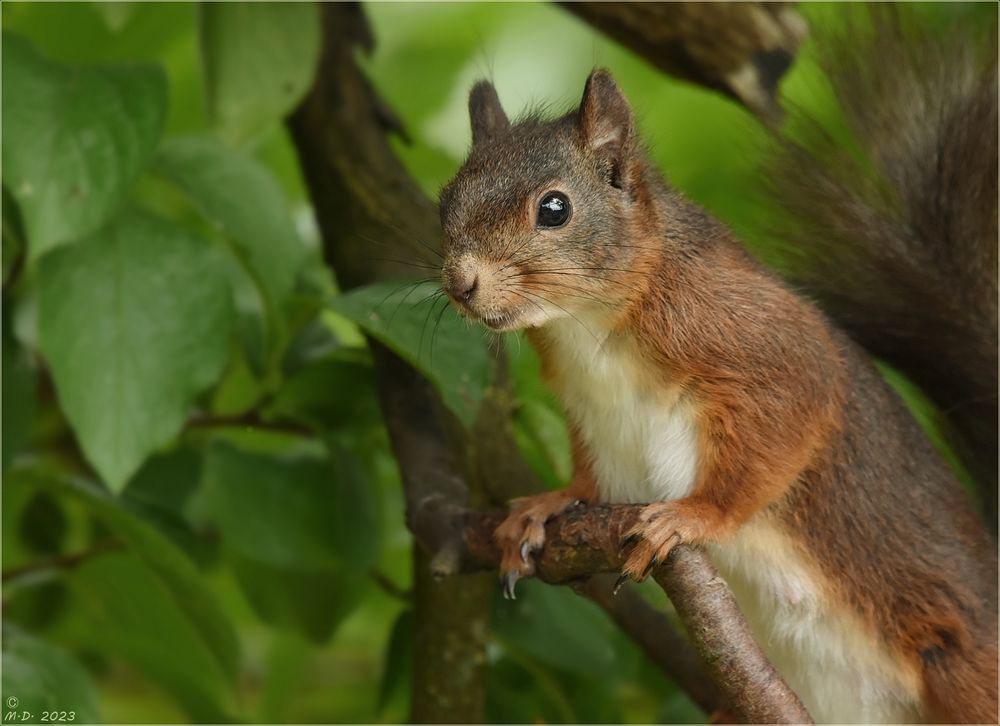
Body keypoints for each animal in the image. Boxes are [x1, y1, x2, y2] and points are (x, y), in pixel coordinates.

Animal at [440, 12, 1000, 726]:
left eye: (555, 208)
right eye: (445, 197)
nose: (461, 283)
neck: (585, 331)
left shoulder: (763, 345)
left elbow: (775, 437)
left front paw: (696, 516)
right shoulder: (593, 418)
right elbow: (592, 483)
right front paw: (546, 504)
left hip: (961, 669)